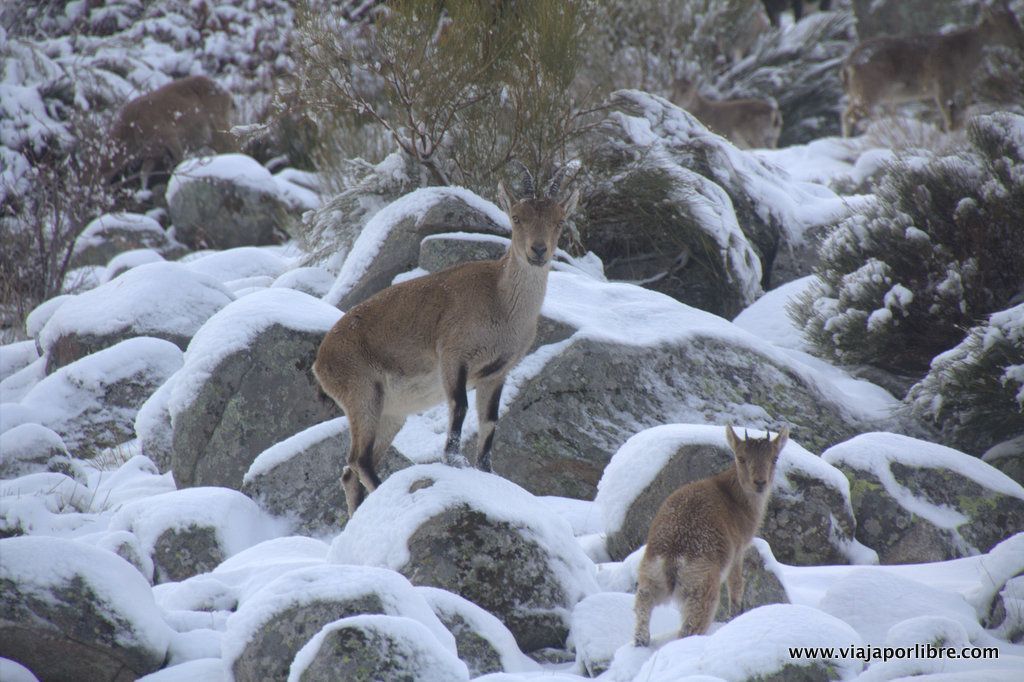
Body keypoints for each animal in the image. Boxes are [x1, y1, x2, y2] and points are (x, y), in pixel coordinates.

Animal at [103, 75, 236, 188]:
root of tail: (227, 93)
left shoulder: (169, 137)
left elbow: (180, 161)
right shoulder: (152, 153)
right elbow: (144, 173)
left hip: (218, 127)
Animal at [313, 162, 580, 516]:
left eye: (559, 220)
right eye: (516, 217)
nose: (538, 250)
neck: (500, 302)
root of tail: (321, 361)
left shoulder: (497, 372)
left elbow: (489, 422)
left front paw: (487, 472)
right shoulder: (454, 356)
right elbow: (460, 406)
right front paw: (453, 459)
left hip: (390, 413)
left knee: (349, 472)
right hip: (362, 394)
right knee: (359, 460)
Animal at [633, 424, 789, 645]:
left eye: (774, 458)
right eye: (741, 457)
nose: (760, 482)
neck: (735, 500)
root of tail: (672, 557)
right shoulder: (738, 550)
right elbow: (736, 585)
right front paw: (735, 615)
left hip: (648, 581)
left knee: (642, 614)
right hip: (701, 590)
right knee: (688, 629)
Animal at [841, 2, 1023, 136]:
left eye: (1014, 20)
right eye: (1007, 24)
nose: (1020, 40)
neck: (963, 57)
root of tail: (849, 63)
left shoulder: (962, 85)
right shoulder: (942, 86)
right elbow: (949, 121)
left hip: (858, 93)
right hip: (869, 90)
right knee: (849, 116)